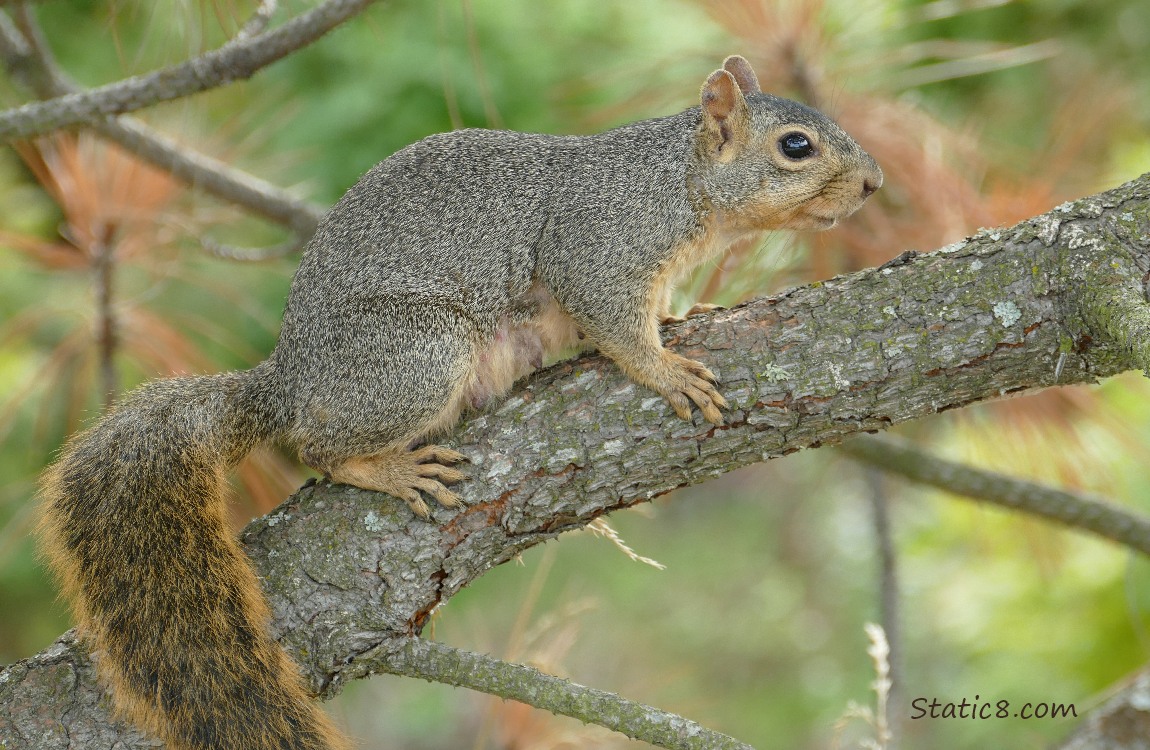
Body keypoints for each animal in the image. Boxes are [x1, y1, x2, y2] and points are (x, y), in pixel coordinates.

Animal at [37, 55, 881, 750]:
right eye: (796, 146)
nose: (874, 184)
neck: (678, 180)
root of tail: (291, 380)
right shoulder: (596, 245)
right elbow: (614, 322)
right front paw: (665, 369)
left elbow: (654, 308)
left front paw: (682, 315)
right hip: (418, 355)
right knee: (317, 447)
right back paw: (391, 470)